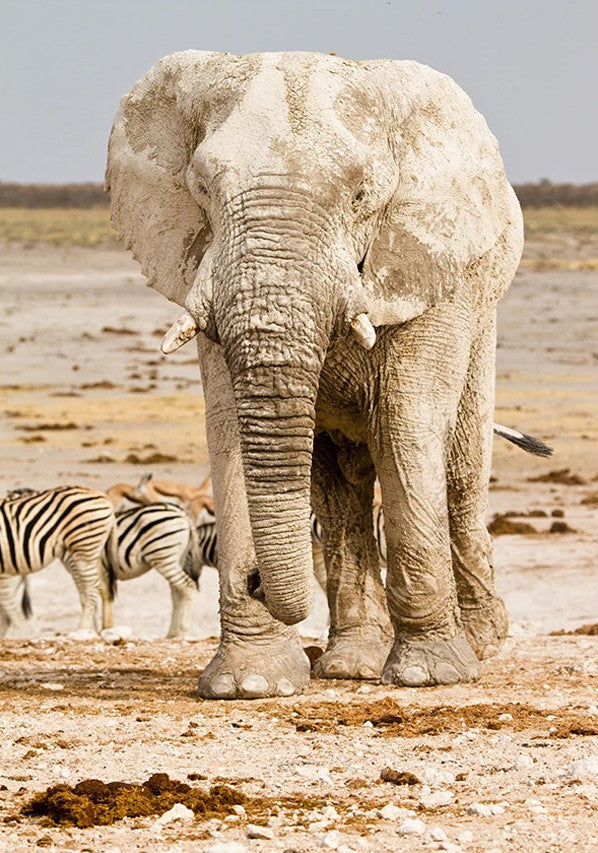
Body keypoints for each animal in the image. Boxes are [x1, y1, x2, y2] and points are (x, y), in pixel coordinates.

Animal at [106, 50, 524, 699]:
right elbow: (230, 427)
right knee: (340, 484)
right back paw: (352, 664)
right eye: (201, 188)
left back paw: (479, 645)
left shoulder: (431, 267)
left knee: (459, 464)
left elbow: (403, 423)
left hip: (483, 312)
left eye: (361, 195)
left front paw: (429, 677)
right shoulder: (205, 269)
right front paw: (250, 685)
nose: (254, 579)